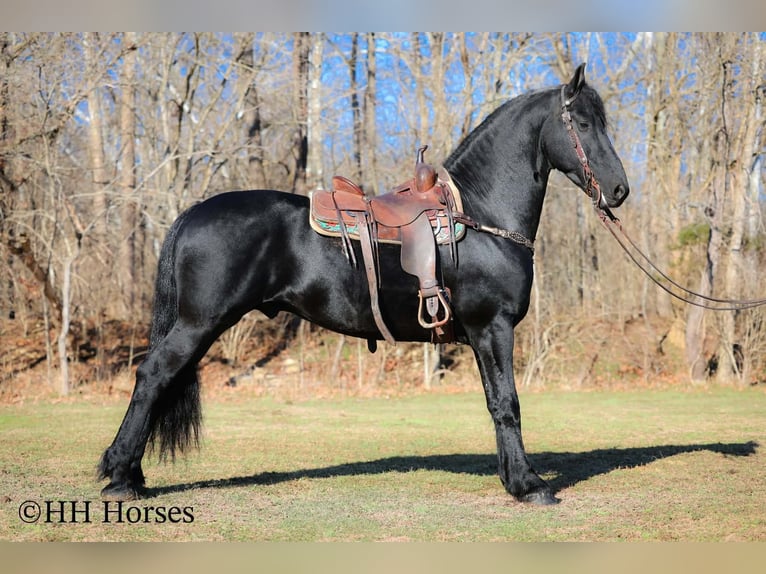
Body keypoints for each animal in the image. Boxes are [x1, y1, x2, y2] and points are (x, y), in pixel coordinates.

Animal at [98, 63, 629, 505]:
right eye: (583, 125)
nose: (619, 189)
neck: (478, 214)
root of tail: (192, 212)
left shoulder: (482, 336)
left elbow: (494, 402)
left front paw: (511, 477)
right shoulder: (492, 328)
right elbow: (507, 404)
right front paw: (528, 485)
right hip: (198, 324)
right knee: (153, 377)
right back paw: (121, 476)